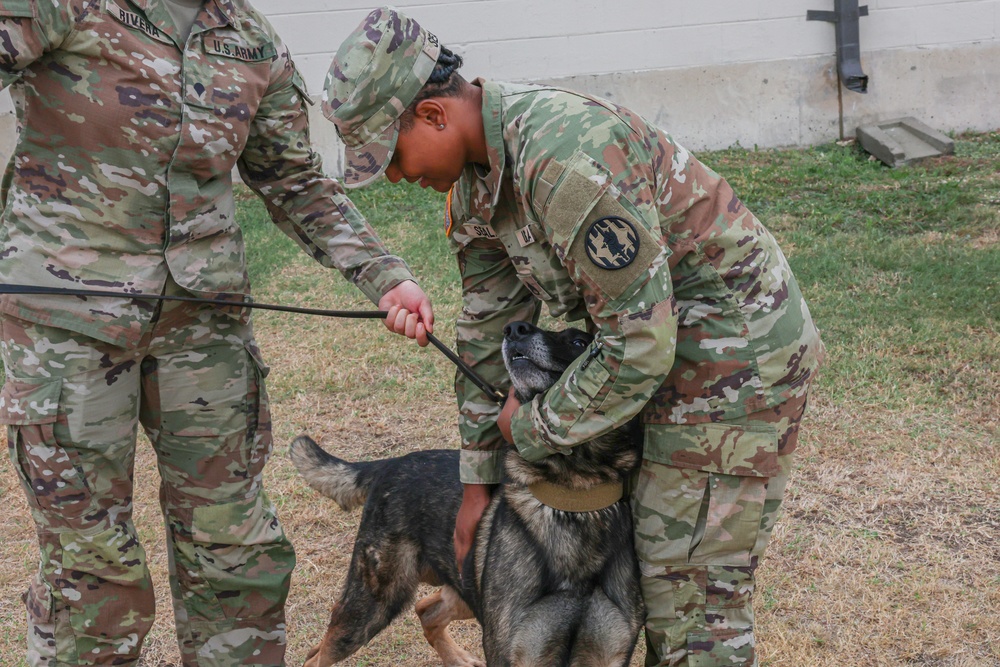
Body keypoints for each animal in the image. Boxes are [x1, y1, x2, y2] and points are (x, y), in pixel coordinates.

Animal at [292, 320, 644, 664]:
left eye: (578, 342)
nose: (515, 328)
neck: (573, 500)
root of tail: (391, 463)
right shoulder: (512, 653)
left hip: (461, 587)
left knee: (426, 609)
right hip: (371, 606)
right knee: (319, 655)